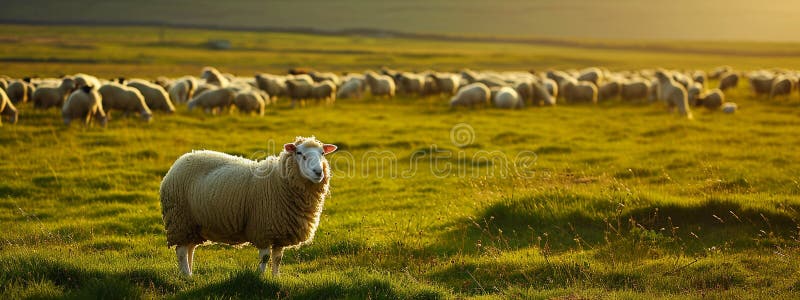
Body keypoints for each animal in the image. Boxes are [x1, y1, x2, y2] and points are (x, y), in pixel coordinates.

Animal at [161, 136, 340, 276]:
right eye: (299, 153)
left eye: (322, 154)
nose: (318, 172)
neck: (278, 181)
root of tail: (181, 160)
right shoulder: (263, 229)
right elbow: (265, 257)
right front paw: (259, 277)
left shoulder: (280, 232)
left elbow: (277, 258)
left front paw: (276, 277)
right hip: (180, 219)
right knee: (181, 251)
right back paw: (186, 276)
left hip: (193, 224)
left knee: (190, 248)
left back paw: (190, 273)